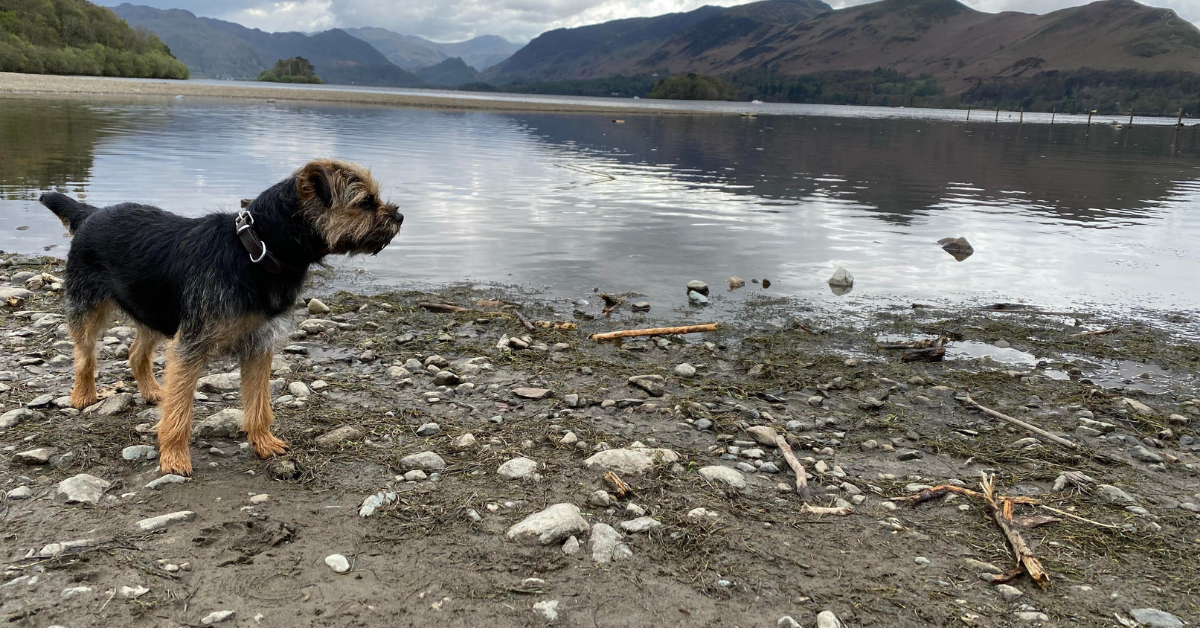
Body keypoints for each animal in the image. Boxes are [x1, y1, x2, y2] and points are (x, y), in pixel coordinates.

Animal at [39, 158, 403, 477]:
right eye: (366, 202)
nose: (399, 215)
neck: (257, 247)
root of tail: (91, 213)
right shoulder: (190, 346)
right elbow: (179, 410)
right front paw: (173, 456)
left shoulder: (258, 345)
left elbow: (258, 402)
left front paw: (263, 442)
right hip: (88, 306)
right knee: (85, 354)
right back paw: (83, 394)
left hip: (154, 307)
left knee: (136, 352)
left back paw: (153, 390)